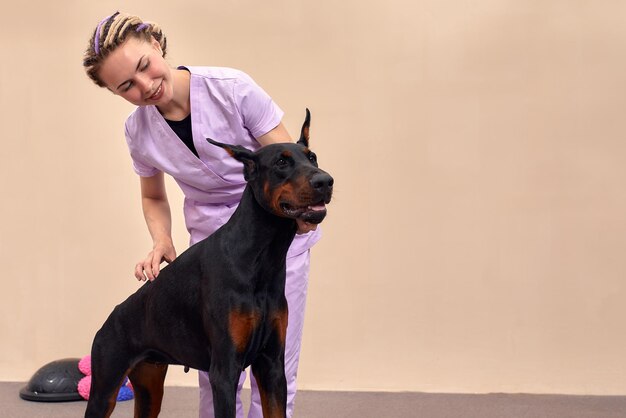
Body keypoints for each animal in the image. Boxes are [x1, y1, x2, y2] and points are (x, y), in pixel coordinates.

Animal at [85, 109, 334, 416]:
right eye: (281, 162)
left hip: (149, 387)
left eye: (313, 157)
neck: (260, 258)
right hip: (104, 387)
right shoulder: (224, 371)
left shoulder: (273, 366)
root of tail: (111, 318)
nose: (326, 181)